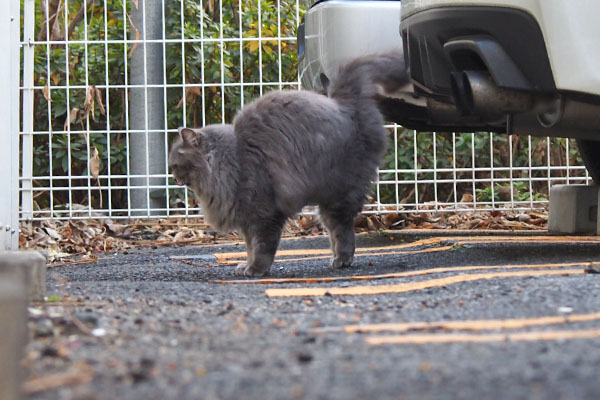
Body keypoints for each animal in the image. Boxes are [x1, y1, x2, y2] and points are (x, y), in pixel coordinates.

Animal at [169, 53, 408, 276]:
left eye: (175, 165)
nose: (173, 177)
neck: (233, 158)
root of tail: (345, 104)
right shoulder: (247, 217)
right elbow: (249, 246)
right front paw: (246, 265)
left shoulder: (265, 213)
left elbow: (262, 247)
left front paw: (255, 269)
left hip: (339, 195)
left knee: (344, 230)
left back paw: (342, 260)